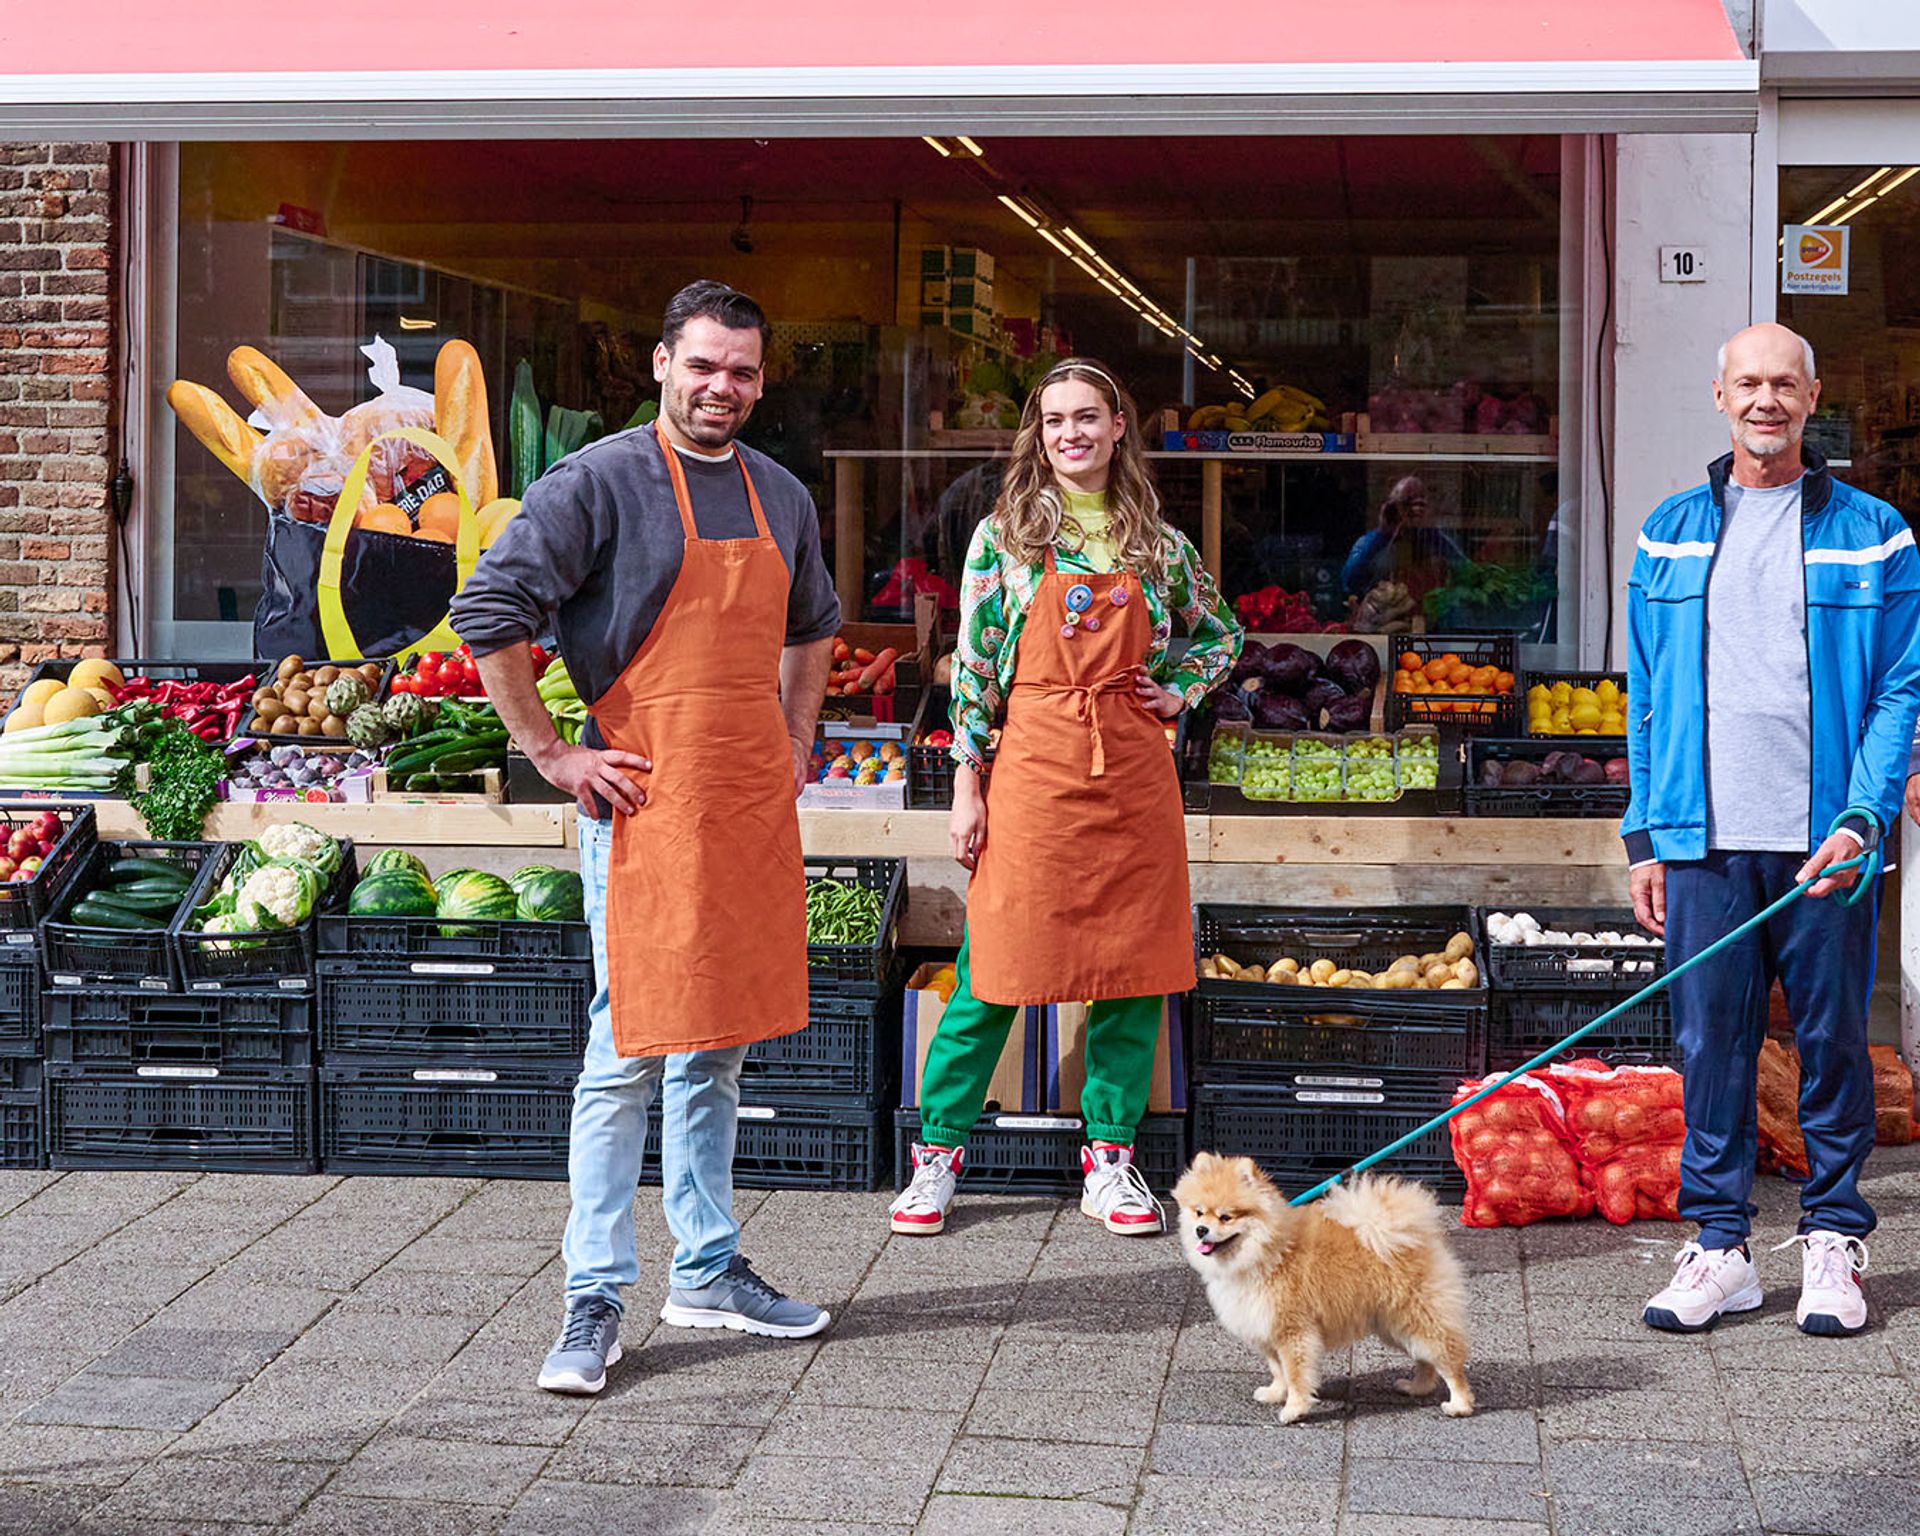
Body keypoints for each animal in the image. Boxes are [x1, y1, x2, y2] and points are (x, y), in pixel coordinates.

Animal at [1167, 1144, 1466, 1420]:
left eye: (1226, 1217)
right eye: (1198, 1212)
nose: (1201, 1230)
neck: (1269, 1255)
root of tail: (1412, 1233)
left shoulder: (1294, 1331)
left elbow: (1296, 1374)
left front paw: (1294, 1409)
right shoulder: (1267, 1329)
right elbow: (1278, 1370)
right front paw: (1276, 1393)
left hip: (1417, 1318)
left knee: (1448, 1360)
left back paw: (1459, 1404)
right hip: (1394, 1326)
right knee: (1425, 1359)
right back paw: (1418, 1387)